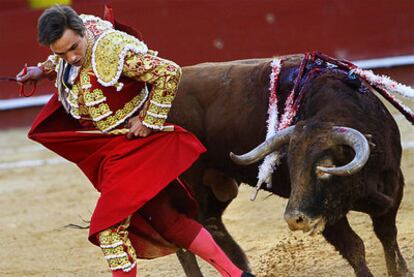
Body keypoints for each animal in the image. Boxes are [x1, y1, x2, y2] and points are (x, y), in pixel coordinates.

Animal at [169, 52, 414, 276]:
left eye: (325, 168)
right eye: (291, 169)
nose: (295, 219)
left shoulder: (393, 185)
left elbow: (387, 235)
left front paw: (400, 270)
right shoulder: (325, 215)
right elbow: (354, 247)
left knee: (211, 225)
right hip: (188, 187)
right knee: (186, 235)